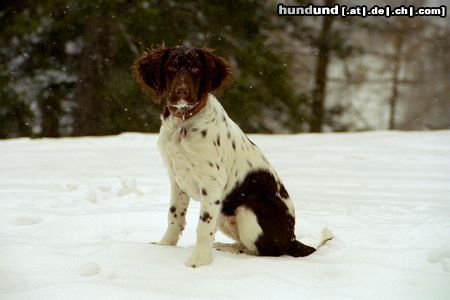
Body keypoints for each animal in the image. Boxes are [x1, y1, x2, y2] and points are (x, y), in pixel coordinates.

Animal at [132, 45, 332, 268]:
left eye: (195, 68)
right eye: (171, 67)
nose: (181, 91)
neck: (184, 122)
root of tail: (292, 239)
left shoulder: (212, 182)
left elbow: (203, 226)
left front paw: (198, 261)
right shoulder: (176, 177)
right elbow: (174, 215)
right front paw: (165, 246)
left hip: (248, 206)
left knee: (262, 252)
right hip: (225, 213)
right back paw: (224, 246)